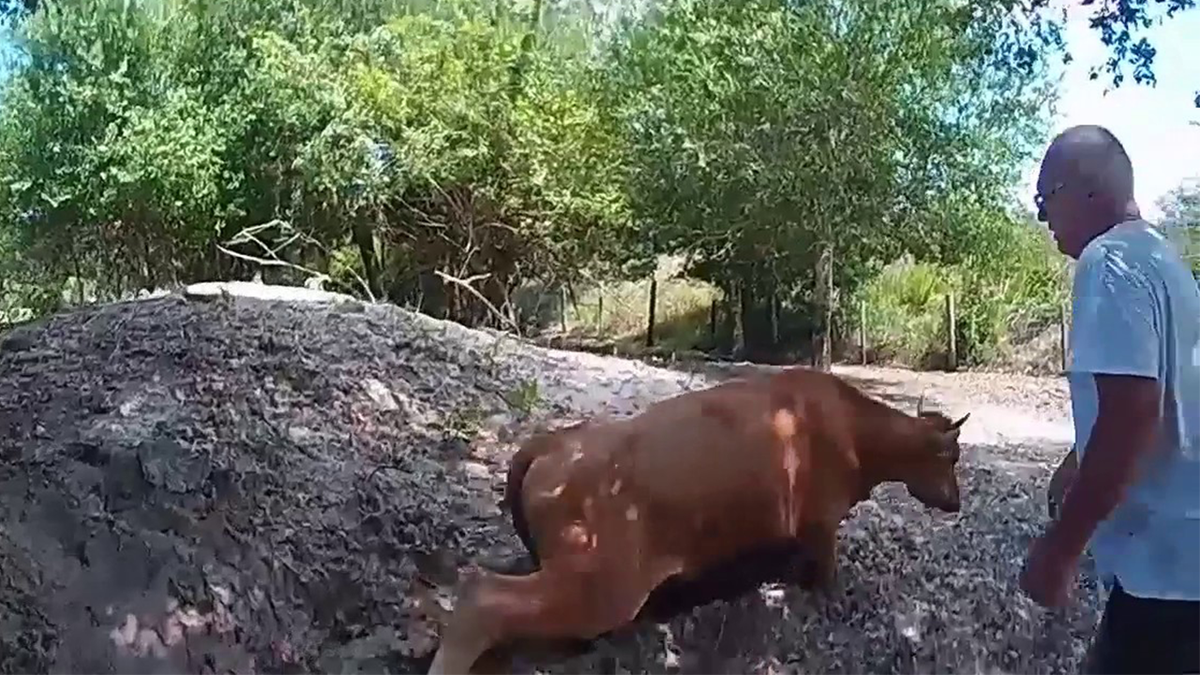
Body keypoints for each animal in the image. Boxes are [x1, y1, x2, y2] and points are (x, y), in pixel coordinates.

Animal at [427, 366, 970, 674]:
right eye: (952, 457)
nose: (957, 502)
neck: (856, 428)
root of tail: (551, 443)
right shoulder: (821, 524)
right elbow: (826, 574)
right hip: (600, 585)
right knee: (483, 599)